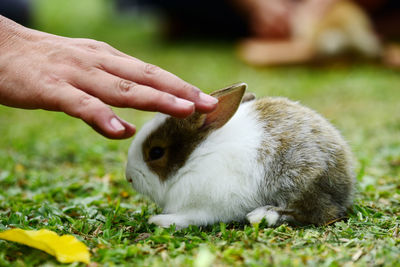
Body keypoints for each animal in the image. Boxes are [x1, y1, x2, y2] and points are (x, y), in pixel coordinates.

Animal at [125, 84, 354, 230]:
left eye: (156, 152)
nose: (129, 177)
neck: (195, 158)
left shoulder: (207, 203)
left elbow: (191, 217)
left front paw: (158, 221)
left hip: (299, 180)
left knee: (321, 213)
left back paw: (262, 215)